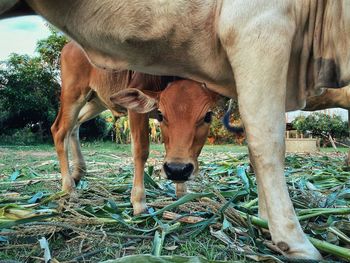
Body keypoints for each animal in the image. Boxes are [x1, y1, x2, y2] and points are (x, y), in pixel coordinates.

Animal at [52, 40, 217, 214]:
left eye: (208, 116)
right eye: (161, 115)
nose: (177, 170)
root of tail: (69, 45)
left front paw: (183, 194)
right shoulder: (136, 110)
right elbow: (141, 151)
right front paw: (139, 202)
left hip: (96, 102)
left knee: (74, 125)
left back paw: (78, 173)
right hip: (73, 94)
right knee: (59, 131)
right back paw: (68, 188)